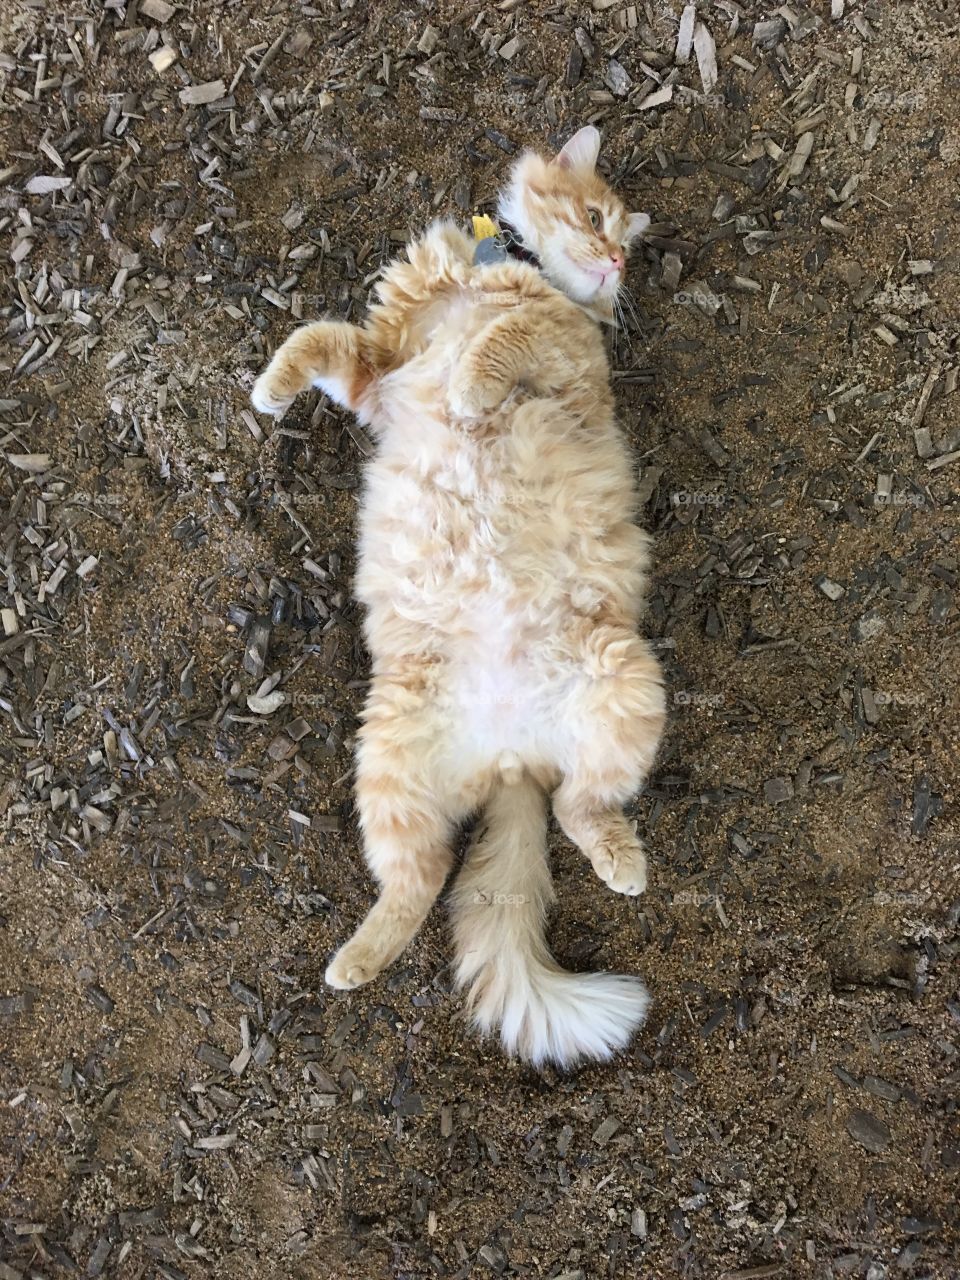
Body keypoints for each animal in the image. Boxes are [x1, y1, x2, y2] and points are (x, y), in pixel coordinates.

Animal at [252, 127, 665, 1070]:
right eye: (599, 218)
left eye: (625, 247)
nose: (615, 260)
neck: (487, 270)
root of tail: (511, 756)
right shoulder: (377, 371)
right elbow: (317, 339)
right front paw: (268, 387)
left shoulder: (558, 349)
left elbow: (502, 340)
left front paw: (474, 387)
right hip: (388, 764)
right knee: (425, 878)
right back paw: (355, 962)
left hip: (625, 684)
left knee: (581, 808)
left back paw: (624, 864)